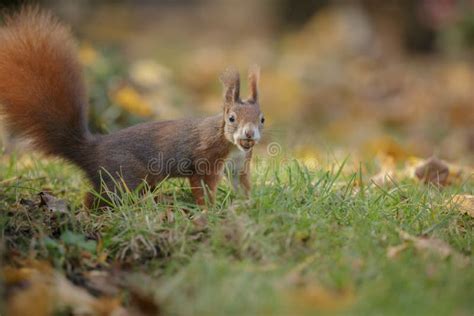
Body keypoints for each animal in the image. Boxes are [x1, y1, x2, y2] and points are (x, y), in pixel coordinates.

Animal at [0, 8, 262, 207]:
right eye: (231, 118)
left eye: (262, 119)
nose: (249, 134)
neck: (231, 145)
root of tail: (91, 149)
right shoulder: (204, 160)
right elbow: (203, 188)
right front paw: (210, 210)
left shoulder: (239, 166)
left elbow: (242, 186)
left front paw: (249, 205)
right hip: (126, 175)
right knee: (101, 197)